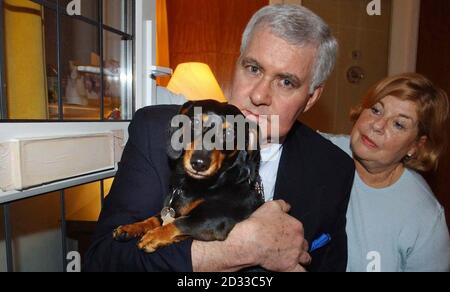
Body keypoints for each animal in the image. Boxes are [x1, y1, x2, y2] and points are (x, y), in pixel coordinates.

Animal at [112, 99, 266, 252]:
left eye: (229, 133)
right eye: (196, 122)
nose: (199, 163)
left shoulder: (216, 219)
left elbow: (180, 222)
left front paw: (153, 237)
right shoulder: (170, 210)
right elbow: (156, 218)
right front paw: (132, 227)